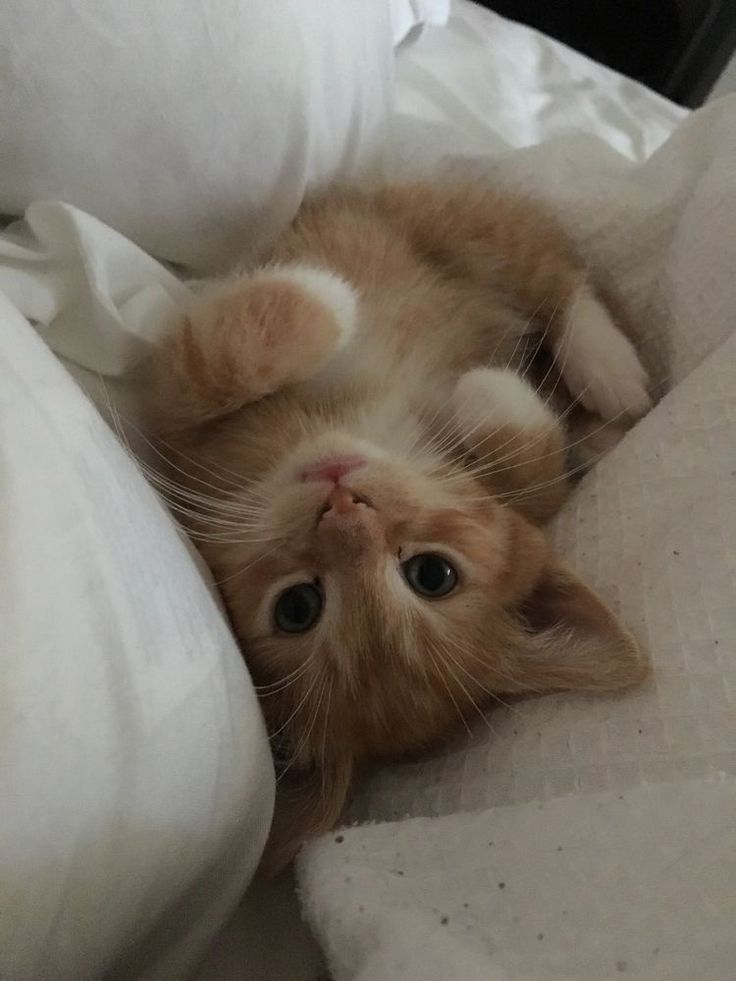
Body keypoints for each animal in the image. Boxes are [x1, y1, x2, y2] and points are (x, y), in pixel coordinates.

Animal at [145, 180, 648, 868]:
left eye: (430, 574)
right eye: (298, 607)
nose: (342, 507)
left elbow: (538, 474)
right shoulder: (177, 423)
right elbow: (219, 364)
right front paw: (332, 303)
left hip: (463, 227)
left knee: (554, 271)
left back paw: (611, 374)